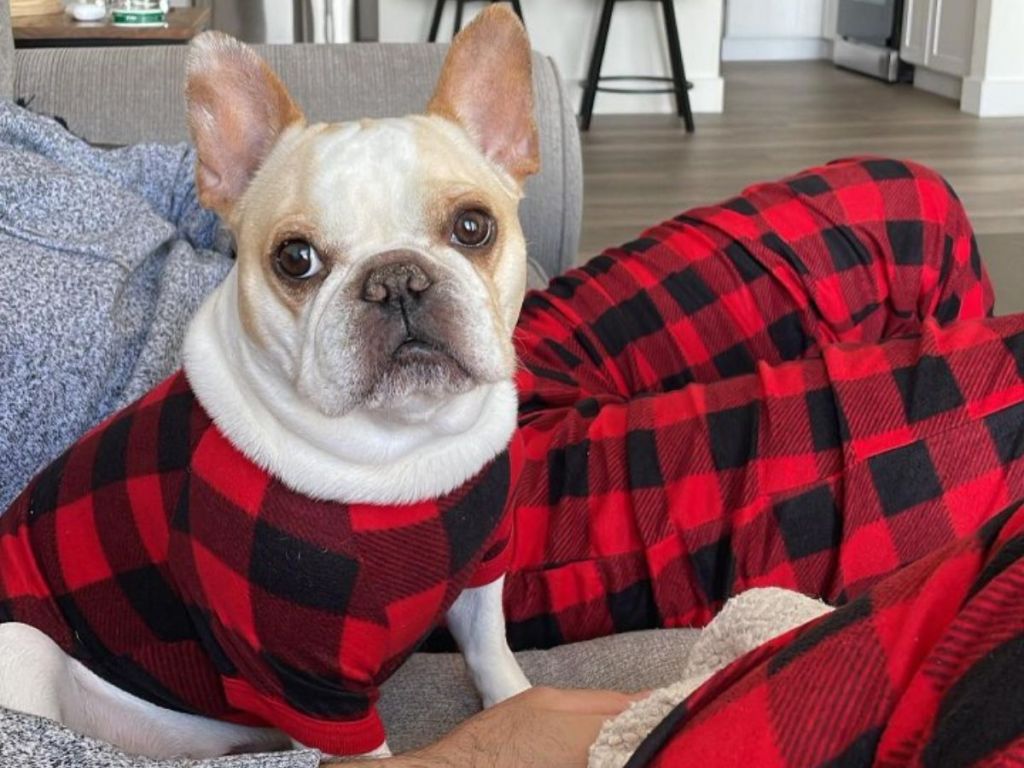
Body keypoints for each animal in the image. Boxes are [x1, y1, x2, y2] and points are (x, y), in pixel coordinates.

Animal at [0, 6, 540, 761]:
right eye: (295, 259)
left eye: (472, 226)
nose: (396, 278)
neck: (406, 445)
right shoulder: (310, 683)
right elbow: (369, 749)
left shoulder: (483, 570)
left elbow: (492, 653)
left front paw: (516, 698)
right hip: (22, 644)